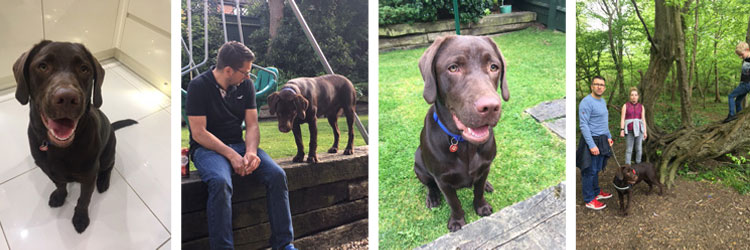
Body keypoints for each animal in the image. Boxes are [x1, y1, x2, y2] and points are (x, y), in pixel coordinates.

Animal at [13, 40, 137, 232]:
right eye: (43, 66)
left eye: (84, 69)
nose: (67, 98)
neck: (60, 149)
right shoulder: (49, 170)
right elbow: (60, 185)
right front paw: (59, 196)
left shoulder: (89, 177)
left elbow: (84, 200)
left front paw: (80, 218)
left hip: (108, 154)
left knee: (109, 166)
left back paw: (104, 181)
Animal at [414, 35, 516, 232]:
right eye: (453, 68)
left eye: (494, 67)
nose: (490, 107)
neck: (464, 144)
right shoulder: (443, 180)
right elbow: (454, 202)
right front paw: (457, 221)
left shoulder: (485, 166)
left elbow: (478, 190)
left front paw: (481, 206)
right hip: (418, 164)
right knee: (430, 184)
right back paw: (433, 197)